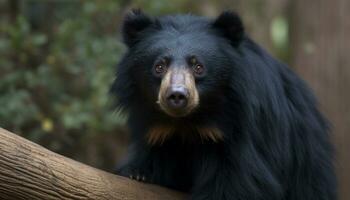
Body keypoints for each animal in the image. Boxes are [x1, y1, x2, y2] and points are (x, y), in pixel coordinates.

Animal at [111, 9, 336, 200]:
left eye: (198, 66)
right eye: (159, 66)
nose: (177, 95)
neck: (189, 122)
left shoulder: (245, 130)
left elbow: (240, 183)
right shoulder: (157, 131)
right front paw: (137, 173)